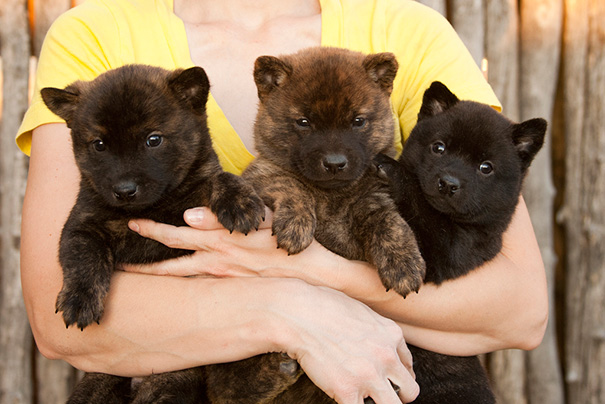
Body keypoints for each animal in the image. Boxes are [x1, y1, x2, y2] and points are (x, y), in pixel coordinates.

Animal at [376, 82, 544, 404]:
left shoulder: (448, 252)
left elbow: (419, 206)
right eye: (439, 148)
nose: (449, 183)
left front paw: (389, 169)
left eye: (485, 167)